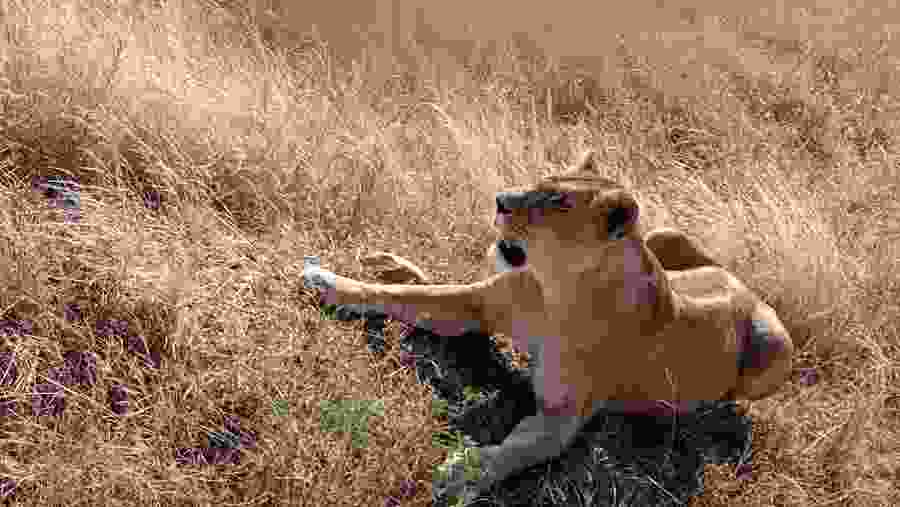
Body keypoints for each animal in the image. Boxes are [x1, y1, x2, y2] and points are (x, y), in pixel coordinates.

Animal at [302, 149, 793, 501]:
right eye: (542, 182)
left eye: (557, 203)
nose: (500, 200)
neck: (555, 292)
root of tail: (743, 285)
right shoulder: (476, 305)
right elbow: (407, 298)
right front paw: (328, 281)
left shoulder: (563, 417)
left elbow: (517, 449)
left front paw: (464, 474)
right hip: (665, 233)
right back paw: (396, 265)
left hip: (775, 348)